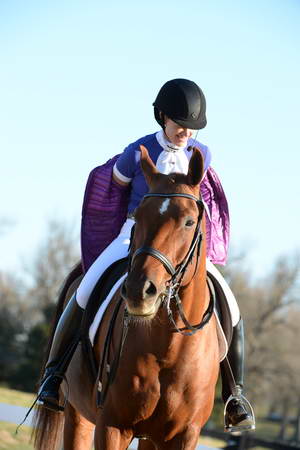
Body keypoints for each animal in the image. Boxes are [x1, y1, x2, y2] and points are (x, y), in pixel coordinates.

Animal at [32, 146, 219, 448]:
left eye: (189, 222)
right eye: (138, 216)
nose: (139, 291)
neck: (169, 347)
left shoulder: (183, 435)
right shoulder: (112, 426)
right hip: (78, 415)